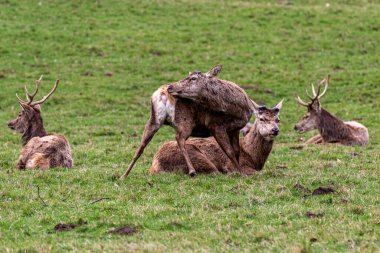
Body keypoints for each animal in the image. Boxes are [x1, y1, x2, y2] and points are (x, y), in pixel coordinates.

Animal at [121, 65, 256, 179]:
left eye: (193, 78)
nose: (170, 87)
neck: (237, 110)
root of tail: (162, 93)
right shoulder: (216, 125)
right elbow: (229, 151)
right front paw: (241, 173)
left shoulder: (235, 129)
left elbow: (237, 150)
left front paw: (237, 170)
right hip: (185, 120)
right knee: (179, 138)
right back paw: (192, 171)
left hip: (154, 119)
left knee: (141, 147)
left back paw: (124, 175)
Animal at [150, 100, 284, 175]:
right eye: (262, 119)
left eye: (278, 119)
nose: (275, 130)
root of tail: (155, 166)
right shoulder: (234, 165)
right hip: (199, 158)